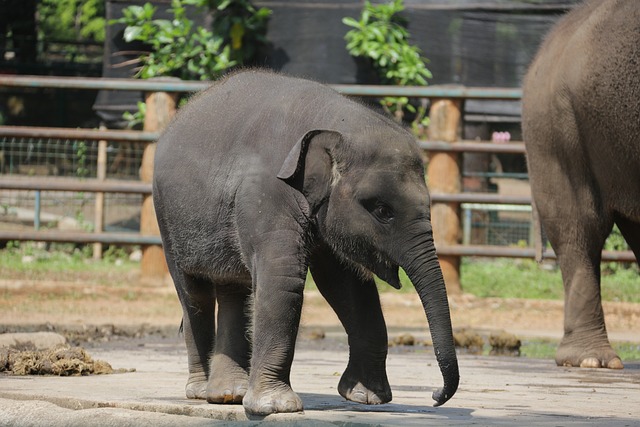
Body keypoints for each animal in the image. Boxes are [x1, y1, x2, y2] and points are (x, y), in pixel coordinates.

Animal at [152, 69, 458, 414]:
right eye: (383, 210)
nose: (434, 395)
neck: (333, 125)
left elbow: (345, 283)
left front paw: (366, 397)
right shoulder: (266, 193)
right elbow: (283, 279)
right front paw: (276, 406)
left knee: (233, 288)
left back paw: (228, 394)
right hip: (167, 218)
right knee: (194, 294)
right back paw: (203, 391)